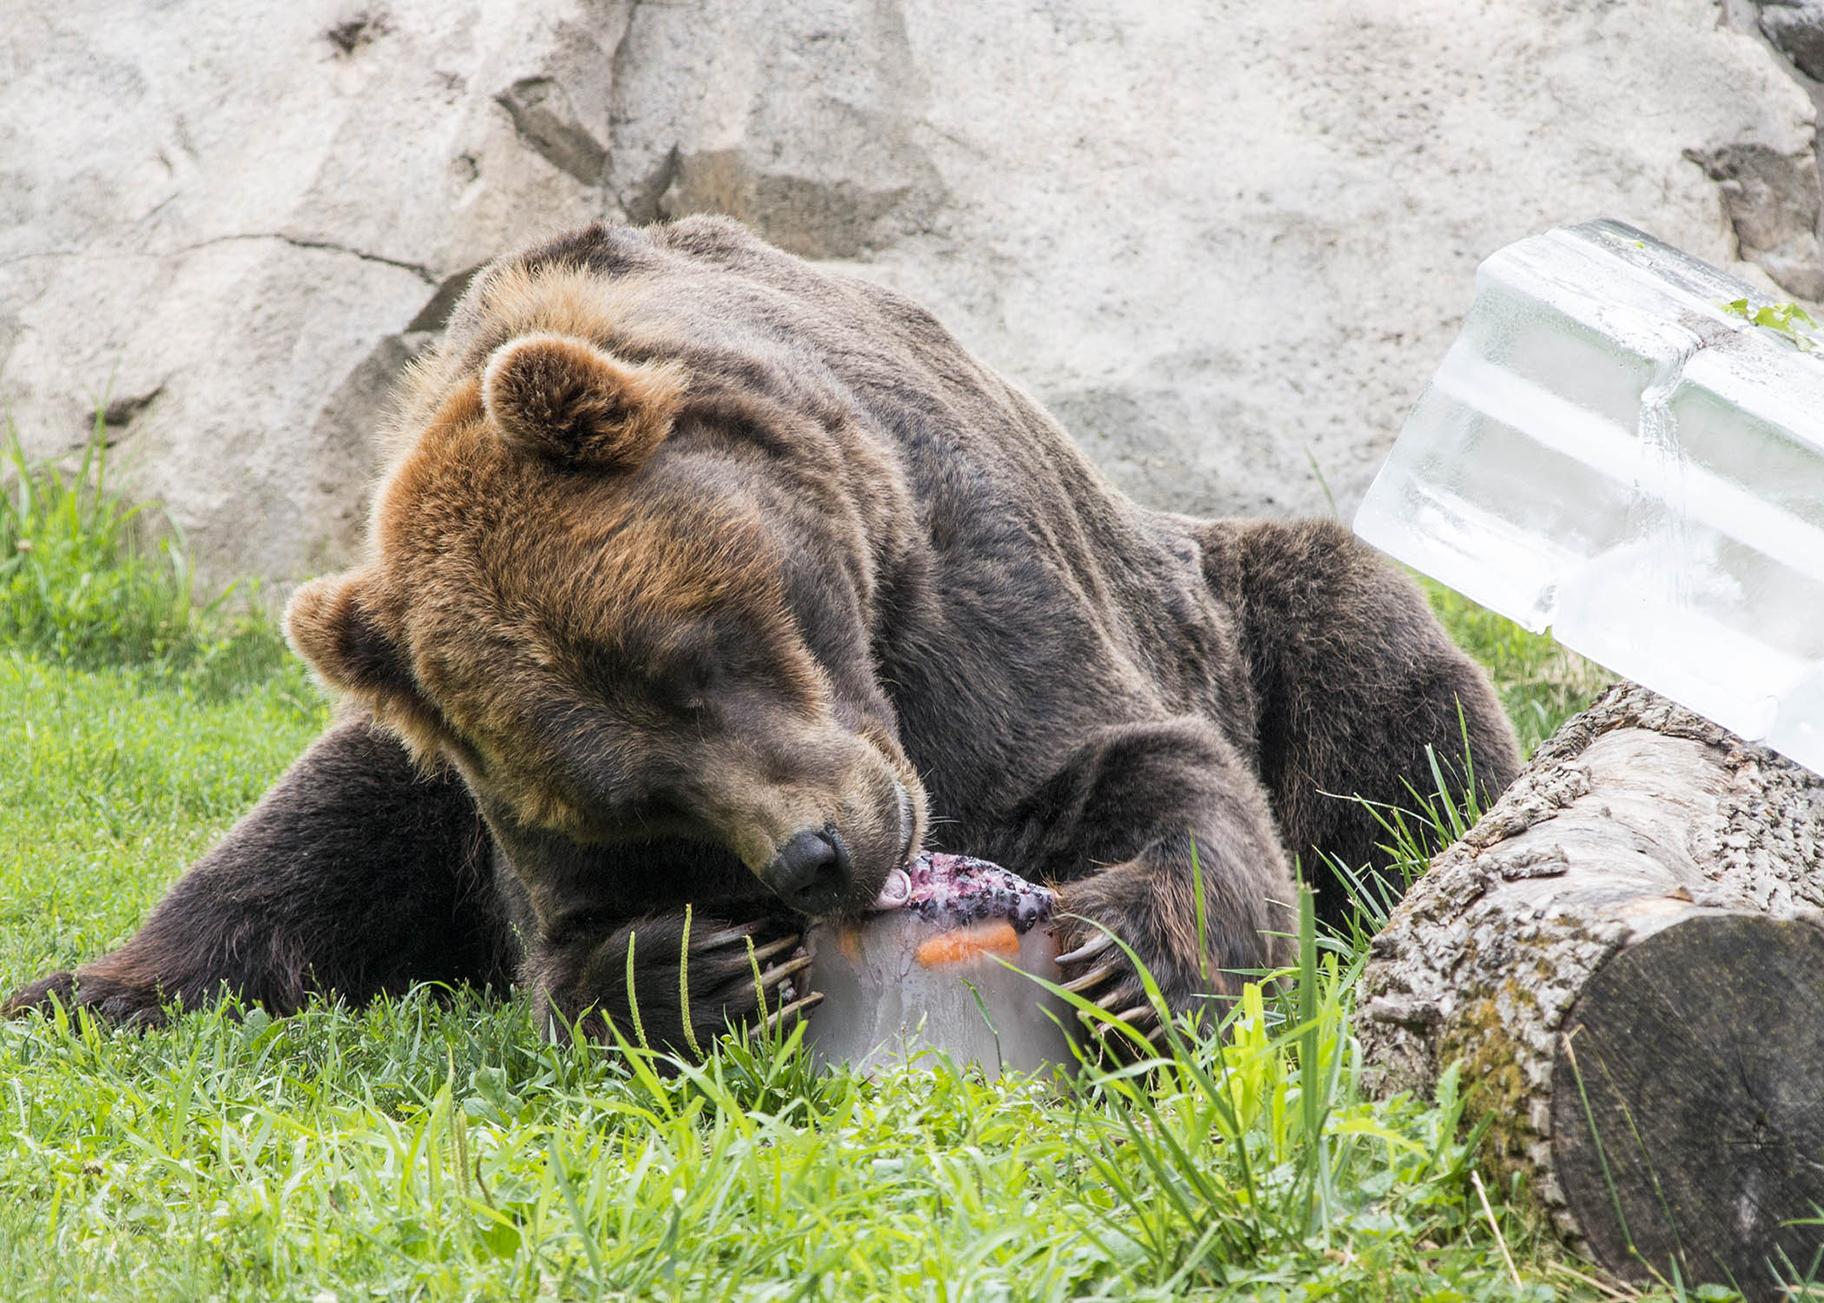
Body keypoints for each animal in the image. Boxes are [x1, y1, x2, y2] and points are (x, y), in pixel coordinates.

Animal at [7, 213, 1524, 1043]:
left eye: (697, 656)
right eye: (629, 792)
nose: (817, 853)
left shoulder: (968, 582)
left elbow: (1124, 762)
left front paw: (1126, 950)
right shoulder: (504, 806)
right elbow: (568, 945)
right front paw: (697, 975)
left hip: (1254, 607)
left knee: (1388, 696)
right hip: (400, 755)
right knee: (307, 833)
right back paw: (89, 990)